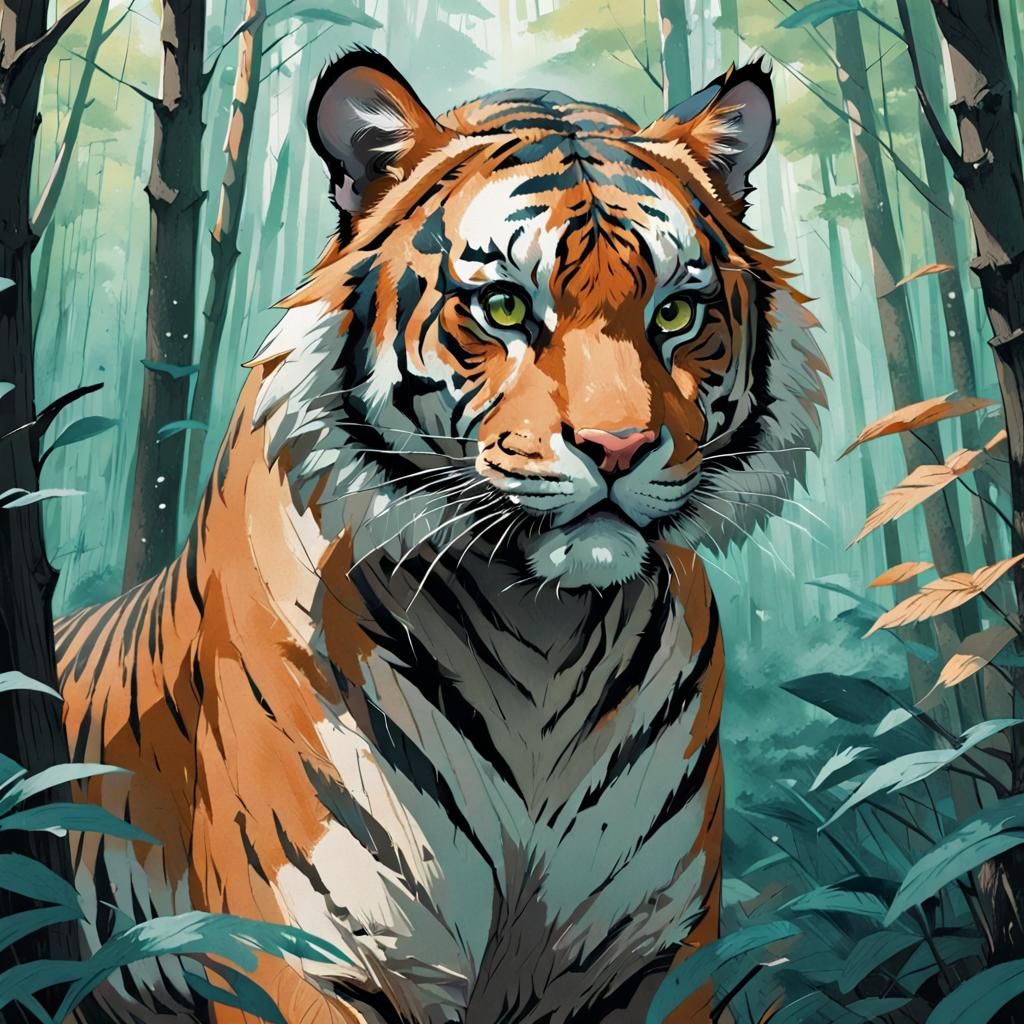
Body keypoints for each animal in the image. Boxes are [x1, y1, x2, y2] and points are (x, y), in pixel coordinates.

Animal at [57, 50, 826, 1024]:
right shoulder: (307, 950)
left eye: (676, 315)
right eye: (504, 306)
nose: (618, 447)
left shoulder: (662, 957)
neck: (546, 637)